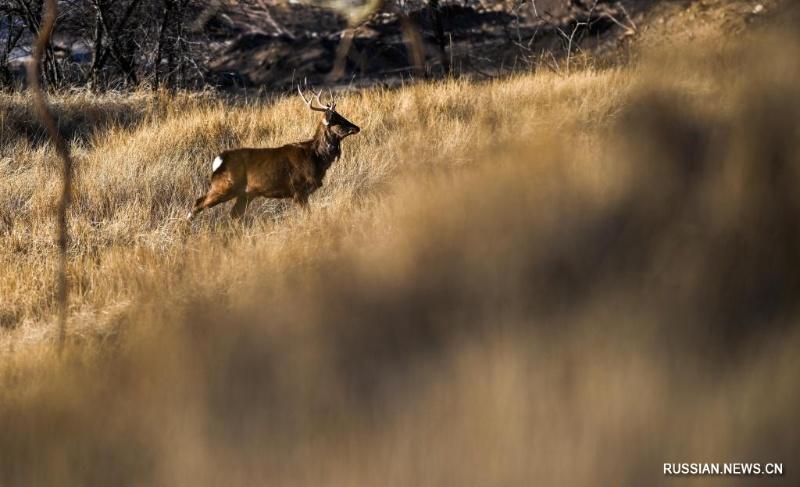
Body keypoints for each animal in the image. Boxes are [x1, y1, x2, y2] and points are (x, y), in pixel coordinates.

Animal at [186, 87, 360, 221]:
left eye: (342, 116)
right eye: (337, 120)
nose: (357, 127)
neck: (315, 157)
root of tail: (219, 160)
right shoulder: (298, 190)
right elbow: (307, 215)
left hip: (245, 193)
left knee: (234, 214)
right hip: (225, 185)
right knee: (198, 203)